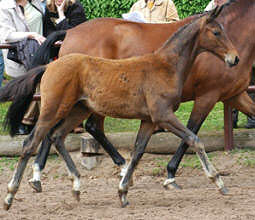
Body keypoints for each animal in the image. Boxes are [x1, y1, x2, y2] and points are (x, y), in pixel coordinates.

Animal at [1, 7, 238, 210]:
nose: (234, 58)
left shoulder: (149, 120)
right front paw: (218, 182)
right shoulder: (163, 115)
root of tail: (49, 65)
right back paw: (11, 194)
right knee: (31, 142)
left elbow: (138, 151)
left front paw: (123, 191)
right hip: (54, 109)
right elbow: (194, 139)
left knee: (57, 136)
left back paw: (76, 185)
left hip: (78, 109)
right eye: (216, 32)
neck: (166, 66)